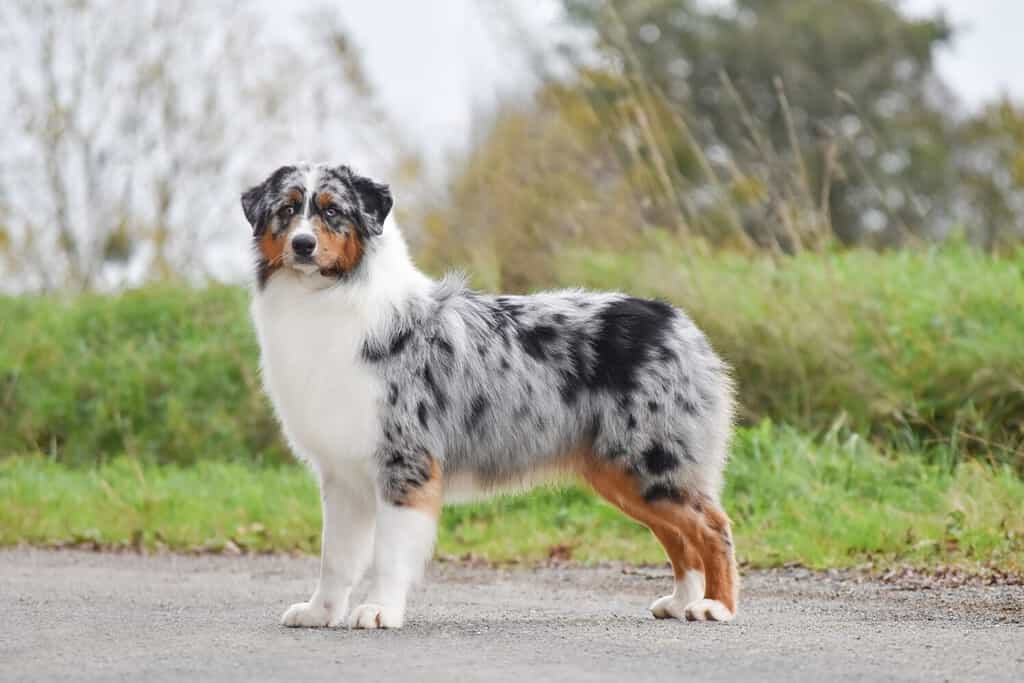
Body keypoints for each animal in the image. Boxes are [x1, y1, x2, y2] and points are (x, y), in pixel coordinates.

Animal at [239, 161, 737, 630]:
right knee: (679, 535)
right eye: (287, 210)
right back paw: (680, 601)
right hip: (623, 473)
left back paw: (715, 606)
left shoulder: (405, 462)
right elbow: (336, 558)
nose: (303, 245)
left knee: (713, 526)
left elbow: (388, 554)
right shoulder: (343, 473)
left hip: (650, 461)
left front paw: (380, 610)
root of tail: (678, 321)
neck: (326, 298)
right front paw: (319, 612)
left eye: (332, 211)